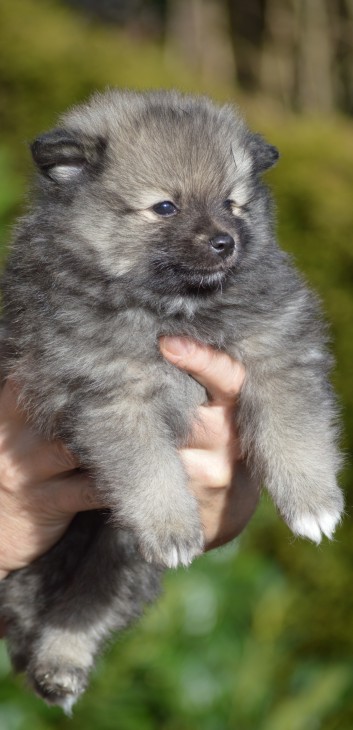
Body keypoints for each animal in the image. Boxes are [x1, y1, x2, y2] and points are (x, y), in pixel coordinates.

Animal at [0, 88, 342, 708]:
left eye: (233, 204)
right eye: (165, 207)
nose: (225, 242)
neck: (178, 308)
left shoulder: (278, 351)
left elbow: (294, 428)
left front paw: (313, 502)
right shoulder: (113, 396)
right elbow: (149, 468)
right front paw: (172, 526)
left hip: (117, 556)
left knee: (85, 606)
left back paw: (60, 664)